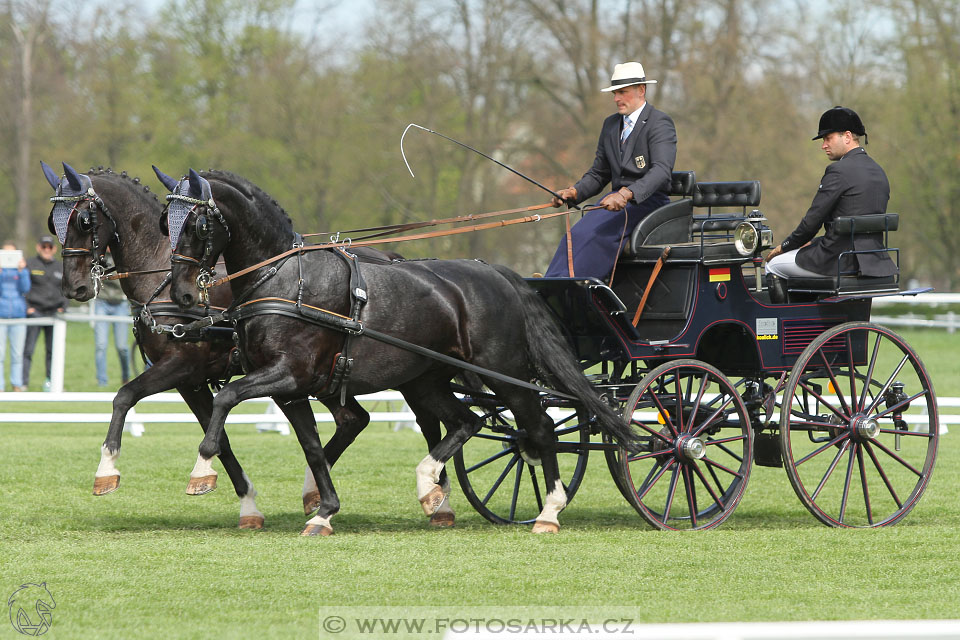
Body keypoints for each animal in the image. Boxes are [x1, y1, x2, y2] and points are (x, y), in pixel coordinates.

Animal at [159, 168, 636, 532]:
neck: (284, 278)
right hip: (426, 382)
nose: (182, 295)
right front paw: (323, 511)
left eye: (197, 225)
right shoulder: (290, 389)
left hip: (503, 374)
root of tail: (500, 274)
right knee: (468, 422)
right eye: (166, 222)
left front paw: (201, 473)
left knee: (539, 428)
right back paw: (430, 488)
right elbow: (313, 447)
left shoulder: (287, 373)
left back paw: (549, 511)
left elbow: (225, 397)